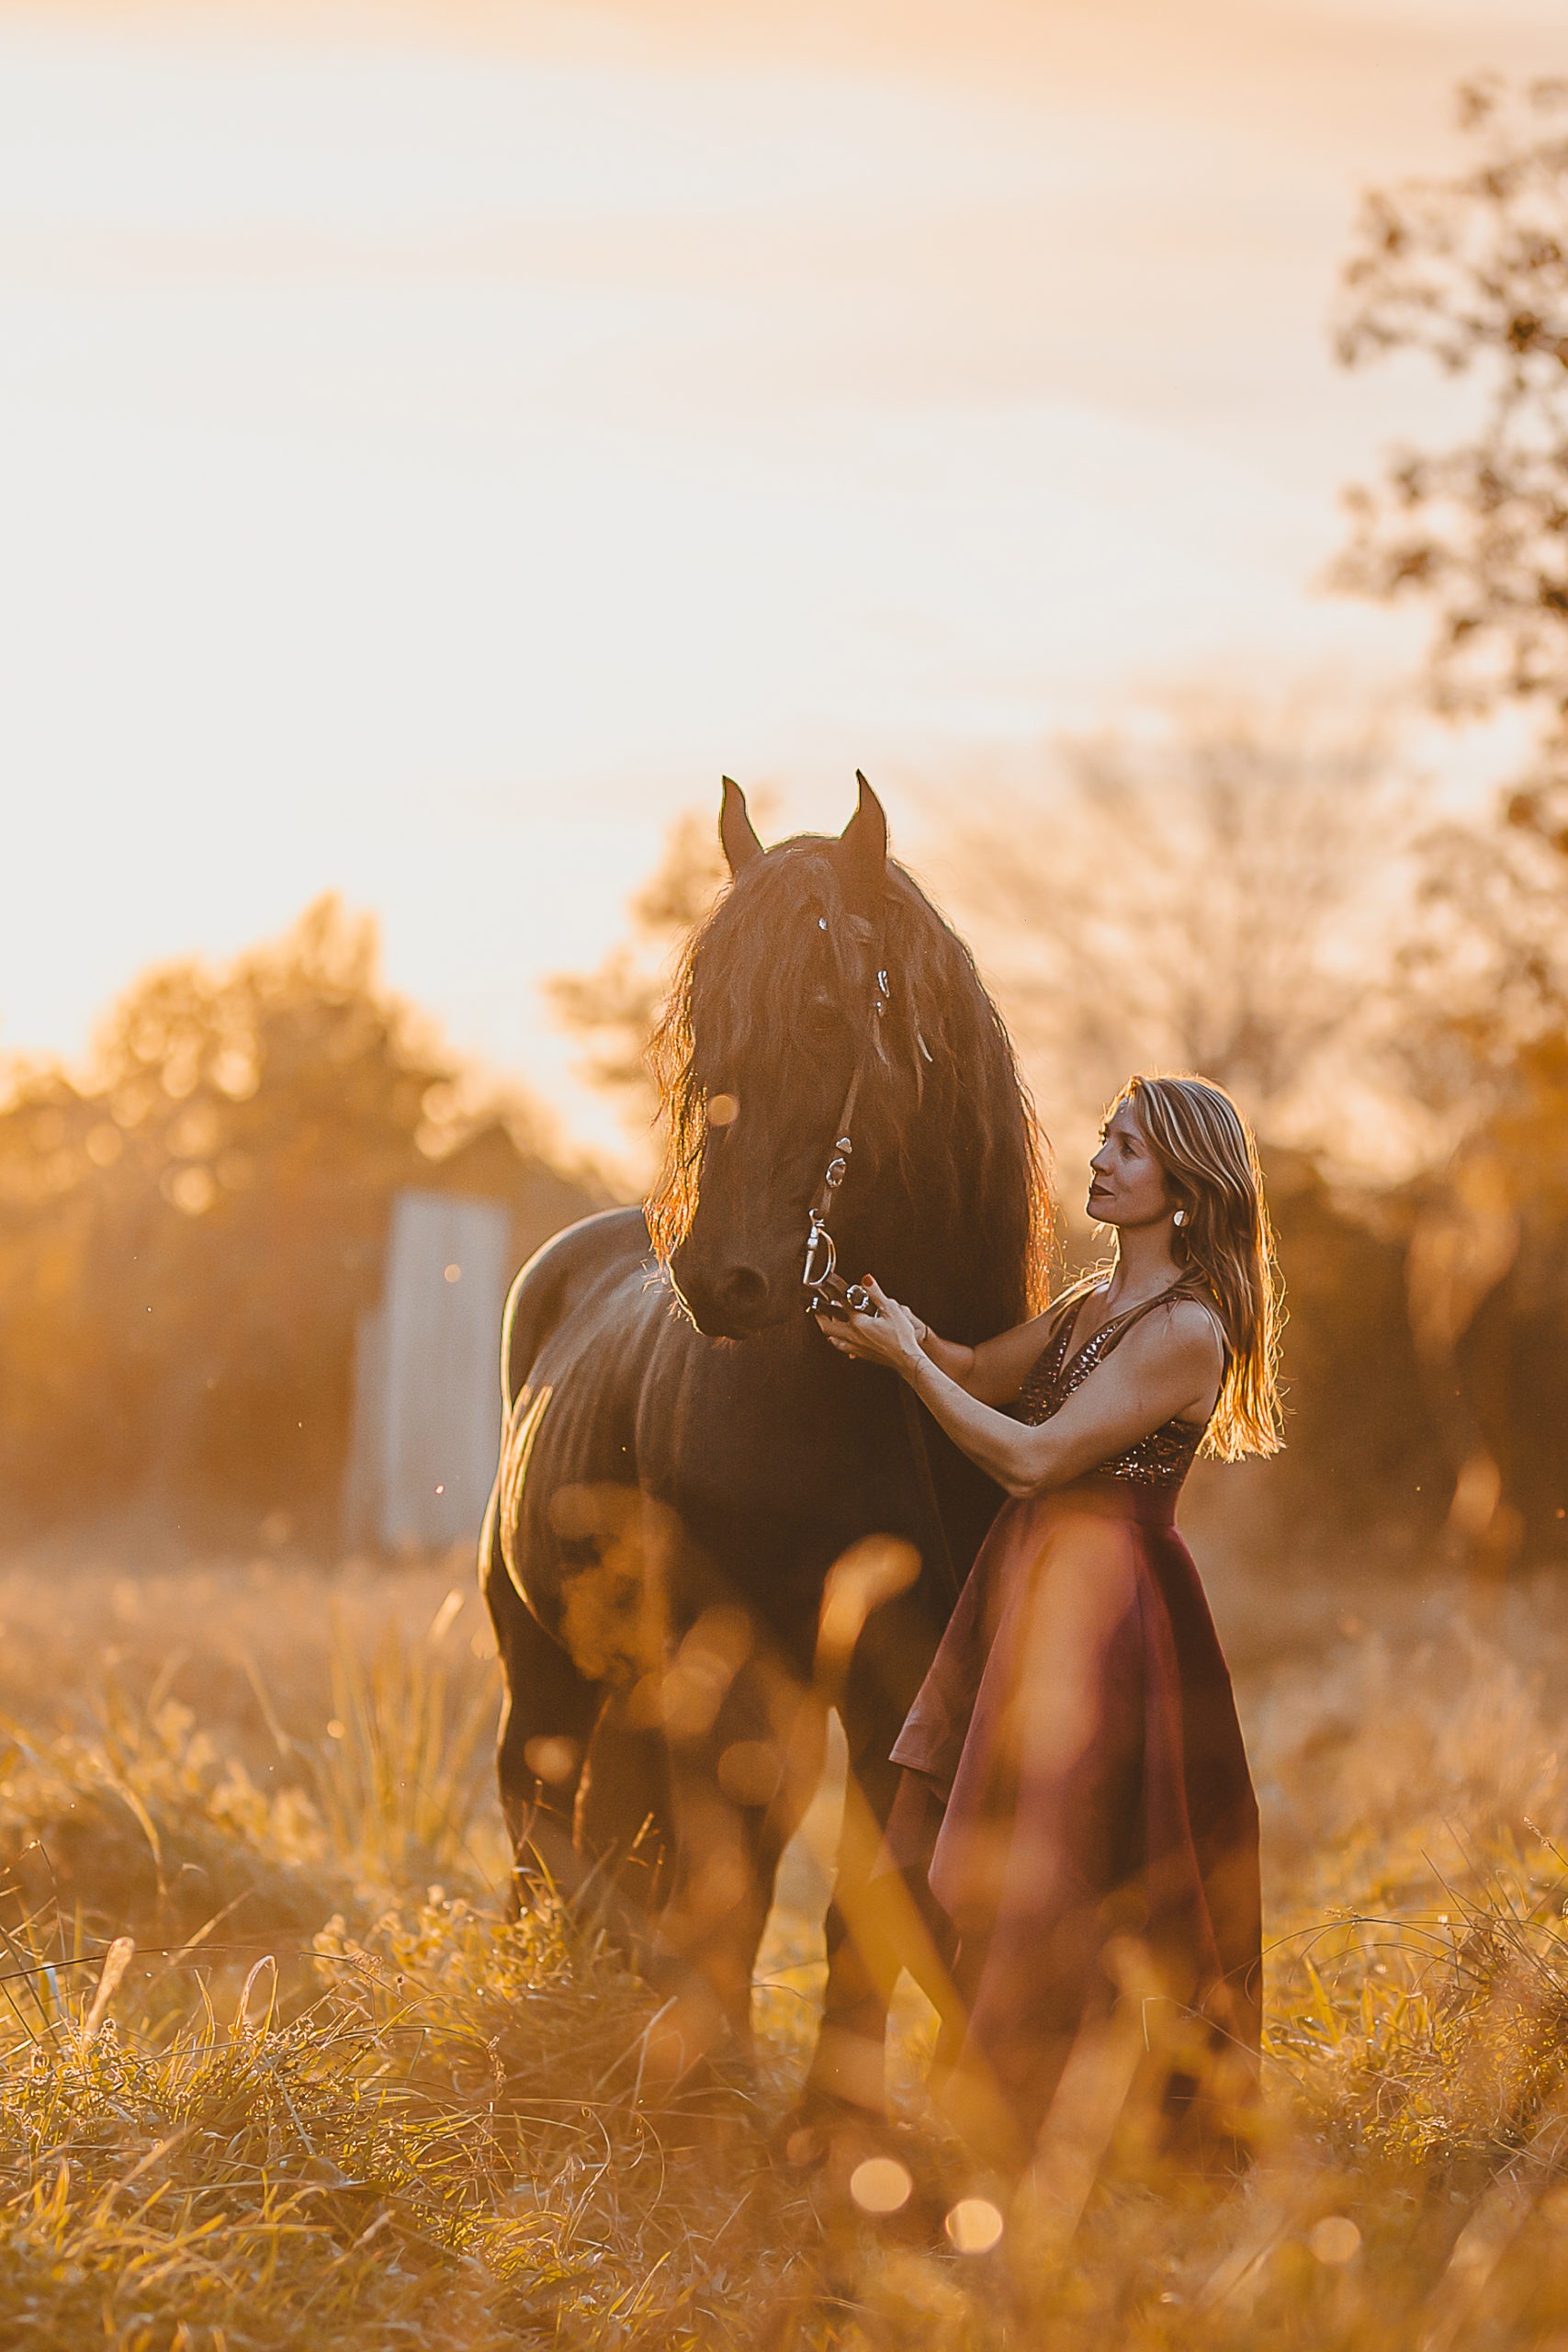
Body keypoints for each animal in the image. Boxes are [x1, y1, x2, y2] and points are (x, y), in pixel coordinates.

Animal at [479, 771, 1043, 2117]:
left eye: (831, 1012)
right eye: (701, 1025)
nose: (720, 1279)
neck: (878, 1408)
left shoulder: (907, 1666)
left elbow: (869, 1892)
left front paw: (838, 2125)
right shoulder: (746, 1652)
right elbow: (735, 1857)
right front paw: (713, 2078)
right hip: (539, 1650)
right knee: (539, 1797)